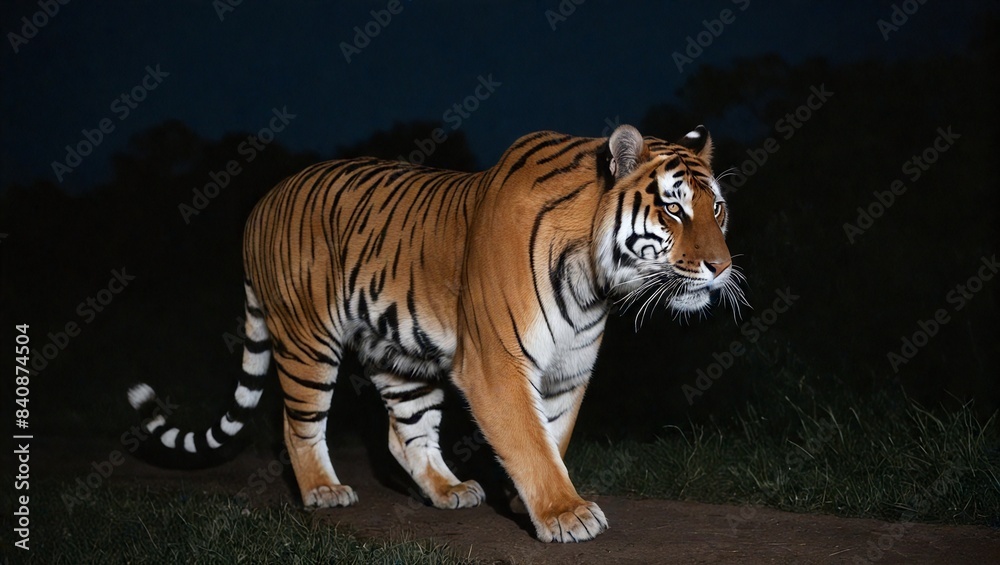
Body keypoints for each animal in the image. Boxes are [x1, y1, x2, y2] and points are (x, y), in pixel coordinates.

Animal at [128, 124, 741, 543]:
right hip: (307, 341)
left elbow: (553, 436)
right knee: (297, 424)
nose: (721, 267)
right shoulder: (497, 366)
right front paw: (566, 514)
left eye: (717, 210)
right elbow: (529, 440)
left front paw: (526, 502)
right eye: (674, 210)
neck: (593, 280)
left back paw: (449, 491)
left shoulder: (569, 370)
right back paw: (324, 490)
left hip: (399, 357)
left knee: (406, 436)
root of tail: (261, 203)